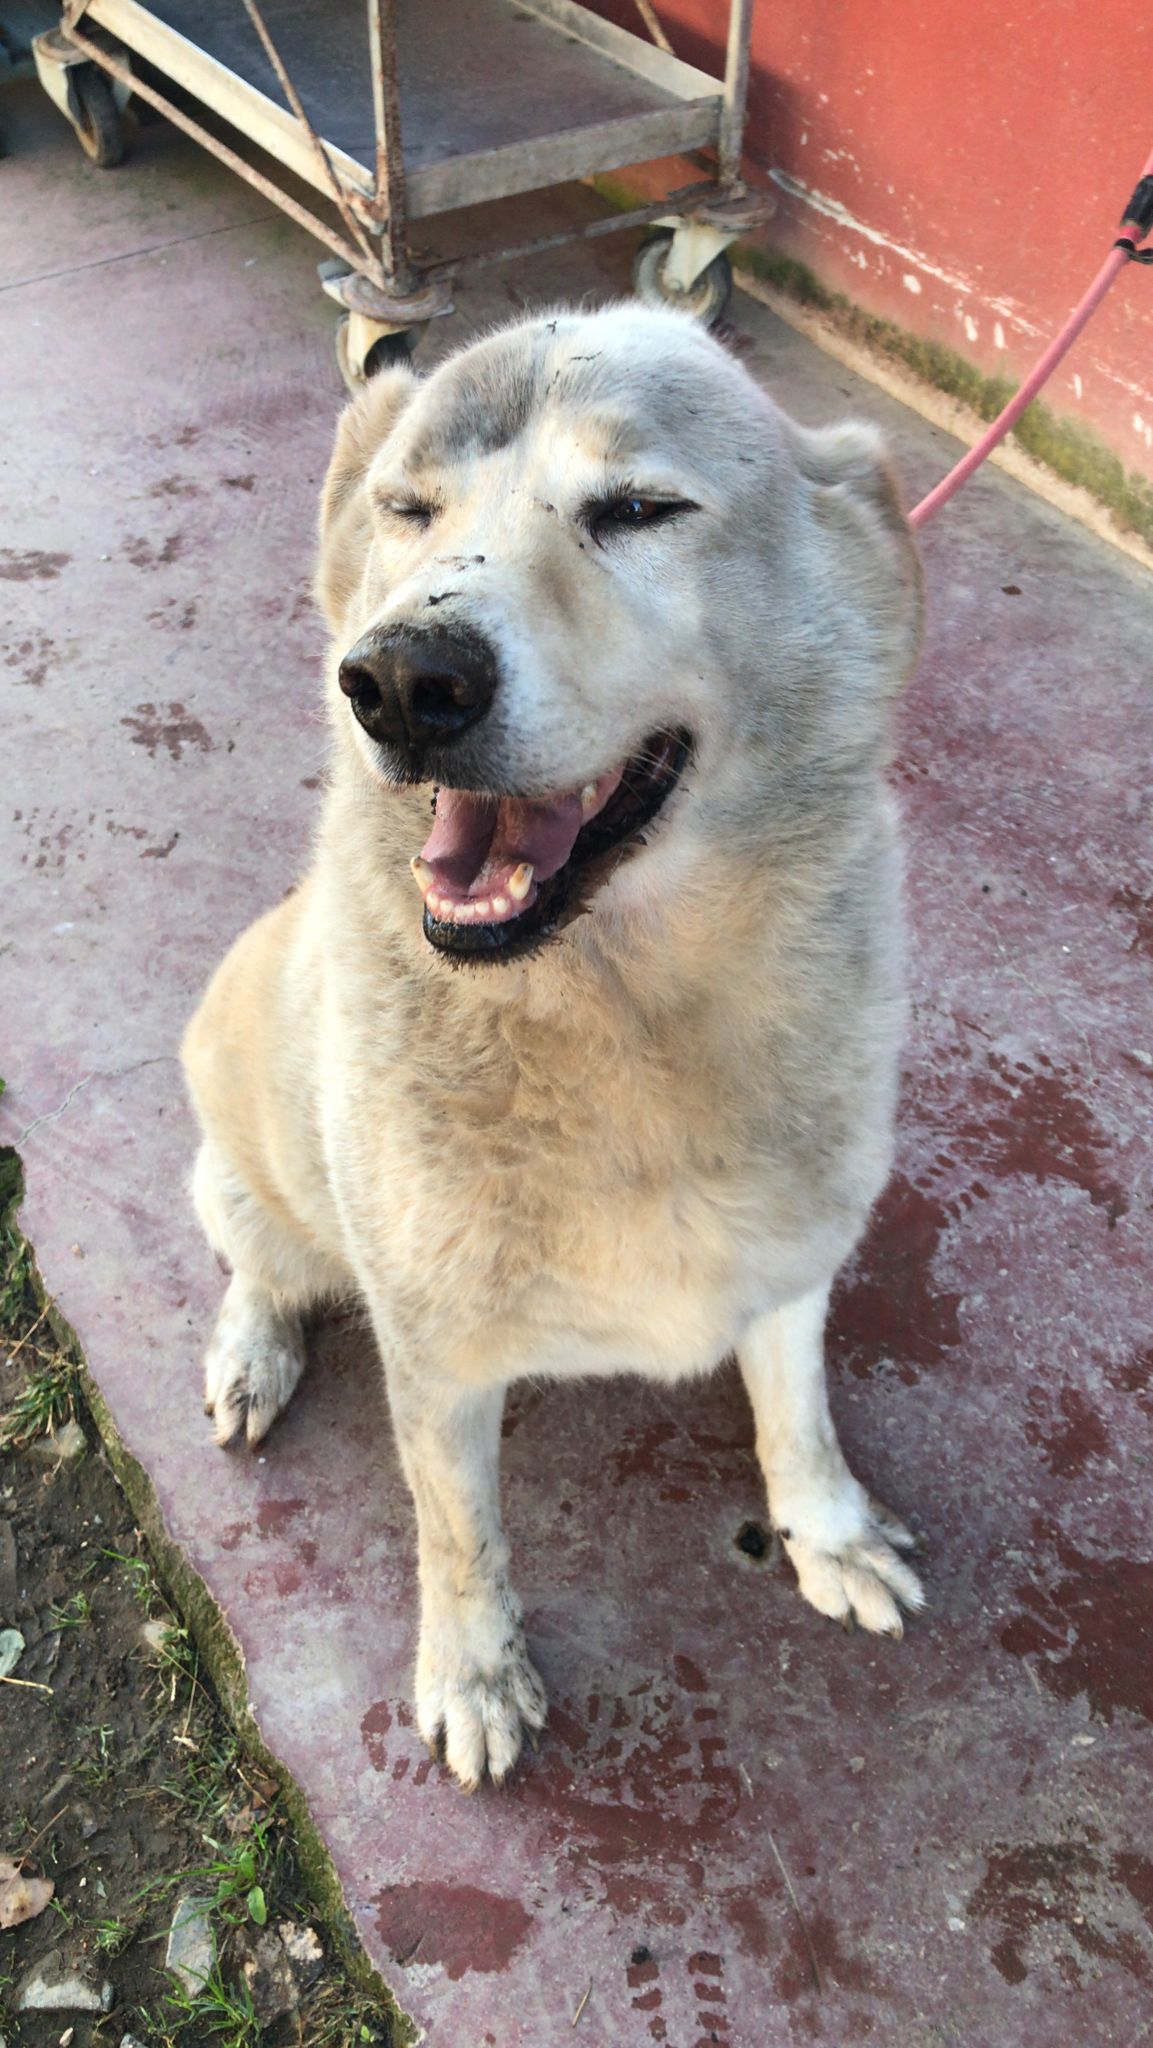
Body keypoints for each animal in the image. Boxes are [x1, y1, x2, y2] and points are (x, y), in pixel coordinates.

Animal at [182, 302, 925, 1791]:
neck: (619, 1017)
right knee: (261, 1264)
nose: (401, 680)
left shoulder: (789, 1259)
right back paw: (251, 1354)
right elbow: (459, 1535)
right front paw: (474, 1673)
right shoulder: (436, 1360)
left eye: (636, 508)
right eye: (409, 509)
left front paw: (826, 1528)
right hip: (242, 1157)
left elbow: (798, 1409)